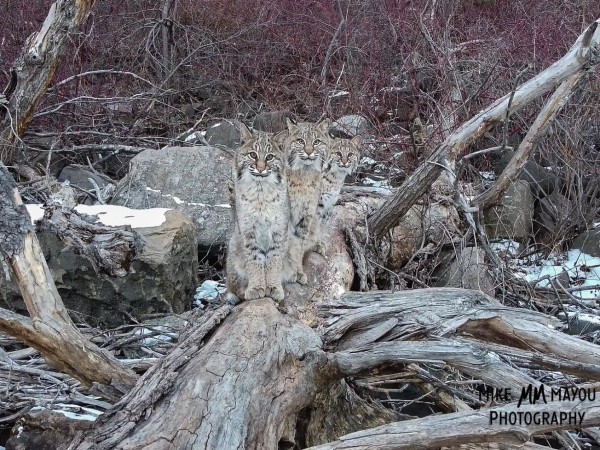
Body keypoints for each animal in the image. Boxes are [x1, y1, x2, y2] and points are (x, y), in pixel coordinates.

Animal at [226, 125, 290, 304]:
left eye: (269, 157)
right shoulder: (248, 231)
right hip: (233, 246)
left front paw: (274, 287)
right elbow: (254, 260)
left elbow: (274, 260)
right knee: (231, 286)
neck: (260, 191)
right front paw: (255, 288)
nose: (261, 168)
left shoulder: (278, 230)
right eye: (253, 155)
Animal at [284, 118, 330, 284]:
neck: (304, 174)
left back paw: (318, 244)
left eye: (316, 142)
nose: (309, 152)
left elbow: (300, 245)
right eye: (300, 141)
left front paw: (298, 271)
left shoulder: (307, 216)